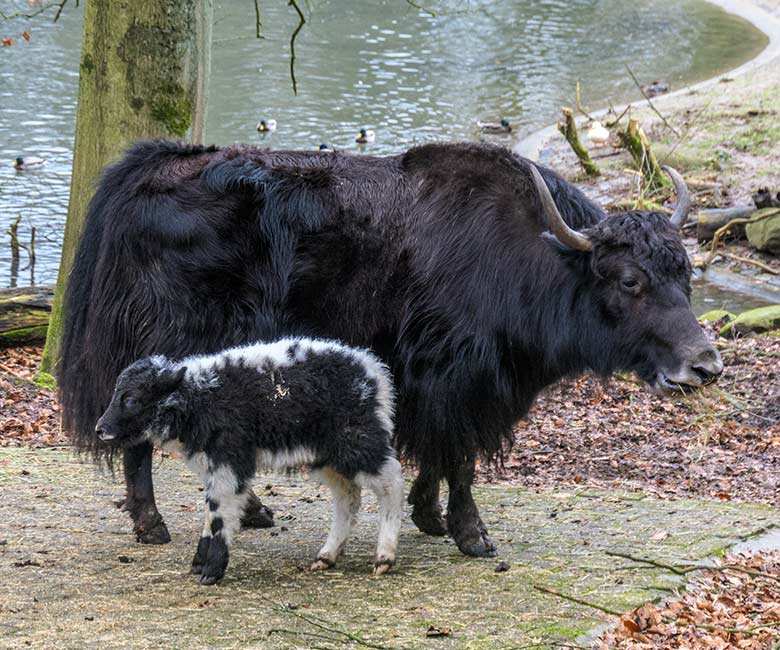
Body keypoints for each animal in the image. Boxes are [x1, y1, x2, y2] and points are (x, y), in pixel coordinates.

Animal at [94, 336, 406, 584]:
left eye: (131, 399)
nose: (100, 429)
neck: (199, 396)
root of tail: (373, 371)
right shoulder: (214, 467)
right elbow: (210, 511)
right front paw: (200, 562)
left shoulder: (229, 462)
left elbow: (219, 514)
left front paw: (212, 570)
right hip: (327, 454)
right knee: (347, 496)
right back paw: (327, 556)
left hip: (359, 441)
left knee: (392, 481)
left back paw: (384, 557)